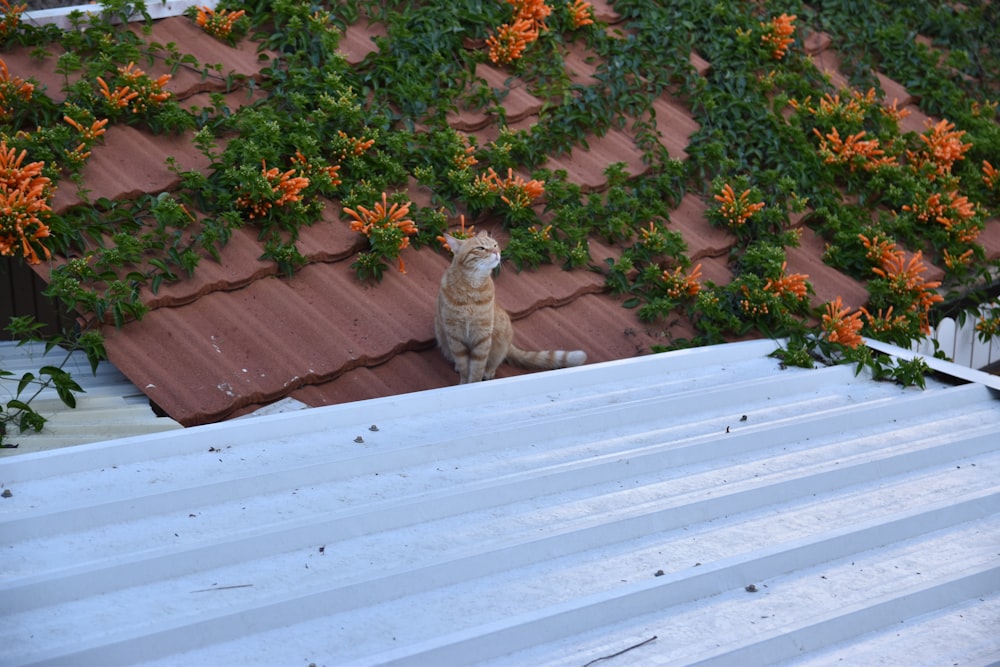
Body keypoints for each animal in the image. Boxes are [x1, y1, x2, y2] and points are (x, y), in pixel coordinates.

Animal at [436, 231, 584, 384]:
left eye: (495, 245)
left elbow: (477, 368)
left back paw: (489, 371)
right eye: (480, 248)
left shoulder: (483, 336)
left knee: (496, 360)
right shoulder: (454, 336)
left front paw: (473, 383)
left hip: (501, 338)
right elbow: (464, 366)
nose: (496, 252)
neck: (472, 288)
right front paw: (464, 383)